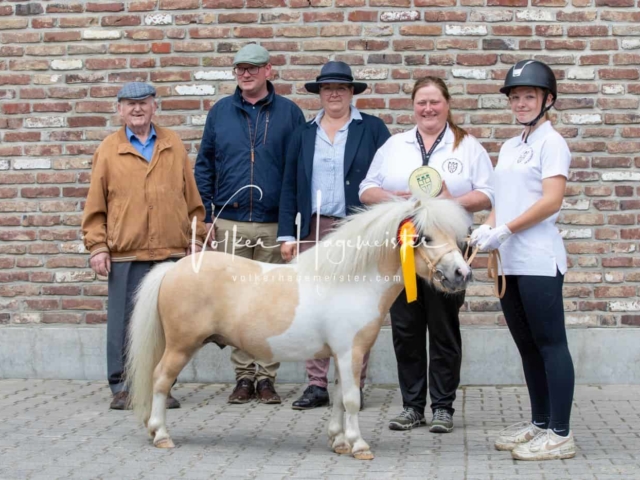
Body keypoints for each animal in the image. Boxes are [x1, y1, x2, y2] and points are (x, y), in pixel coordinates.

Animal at [127, 196, 472, 462]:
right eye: (426, 237)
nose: (462, 273)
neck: (350, 282)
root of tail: (173, 268)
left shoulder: (341, 356)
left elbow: (337, 397)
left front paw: (339, 442)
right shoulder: (350, 353)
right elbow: (351, 400)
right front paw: (359, 446)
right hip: (181, 346)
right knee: (160, 380)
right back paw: (161, 434)